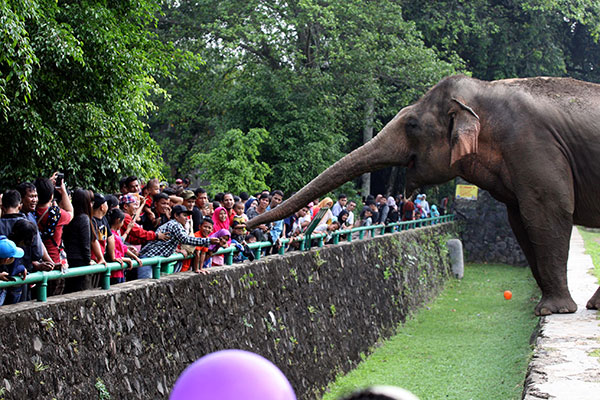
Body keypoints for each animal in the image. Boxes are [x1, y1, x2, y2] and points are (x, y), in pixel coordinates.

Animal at [246, 73, 600, 314]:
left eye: (412, 125)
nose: (245, 226)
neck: (484, 91)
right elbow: (519, 220)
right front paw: (547, 306)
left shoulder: (534, 148)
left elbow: (547, 211)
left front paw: (552, 310)